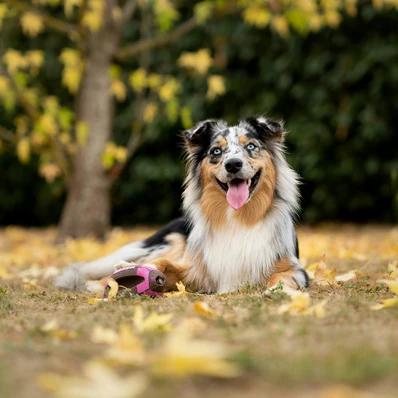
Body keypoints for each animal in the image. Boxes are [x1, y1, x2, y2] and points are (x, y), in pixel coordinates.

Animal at [54, 116, 310, 294]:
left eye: (251, 147)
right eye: (216, 151)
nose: (233, 164)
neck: (238, 218)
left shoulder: (295, 268)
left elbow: (284, 278)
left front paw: (280, 291)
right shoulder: (195, 269)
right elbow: (165, 266)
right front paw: (127, 276)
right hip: (169, 242)